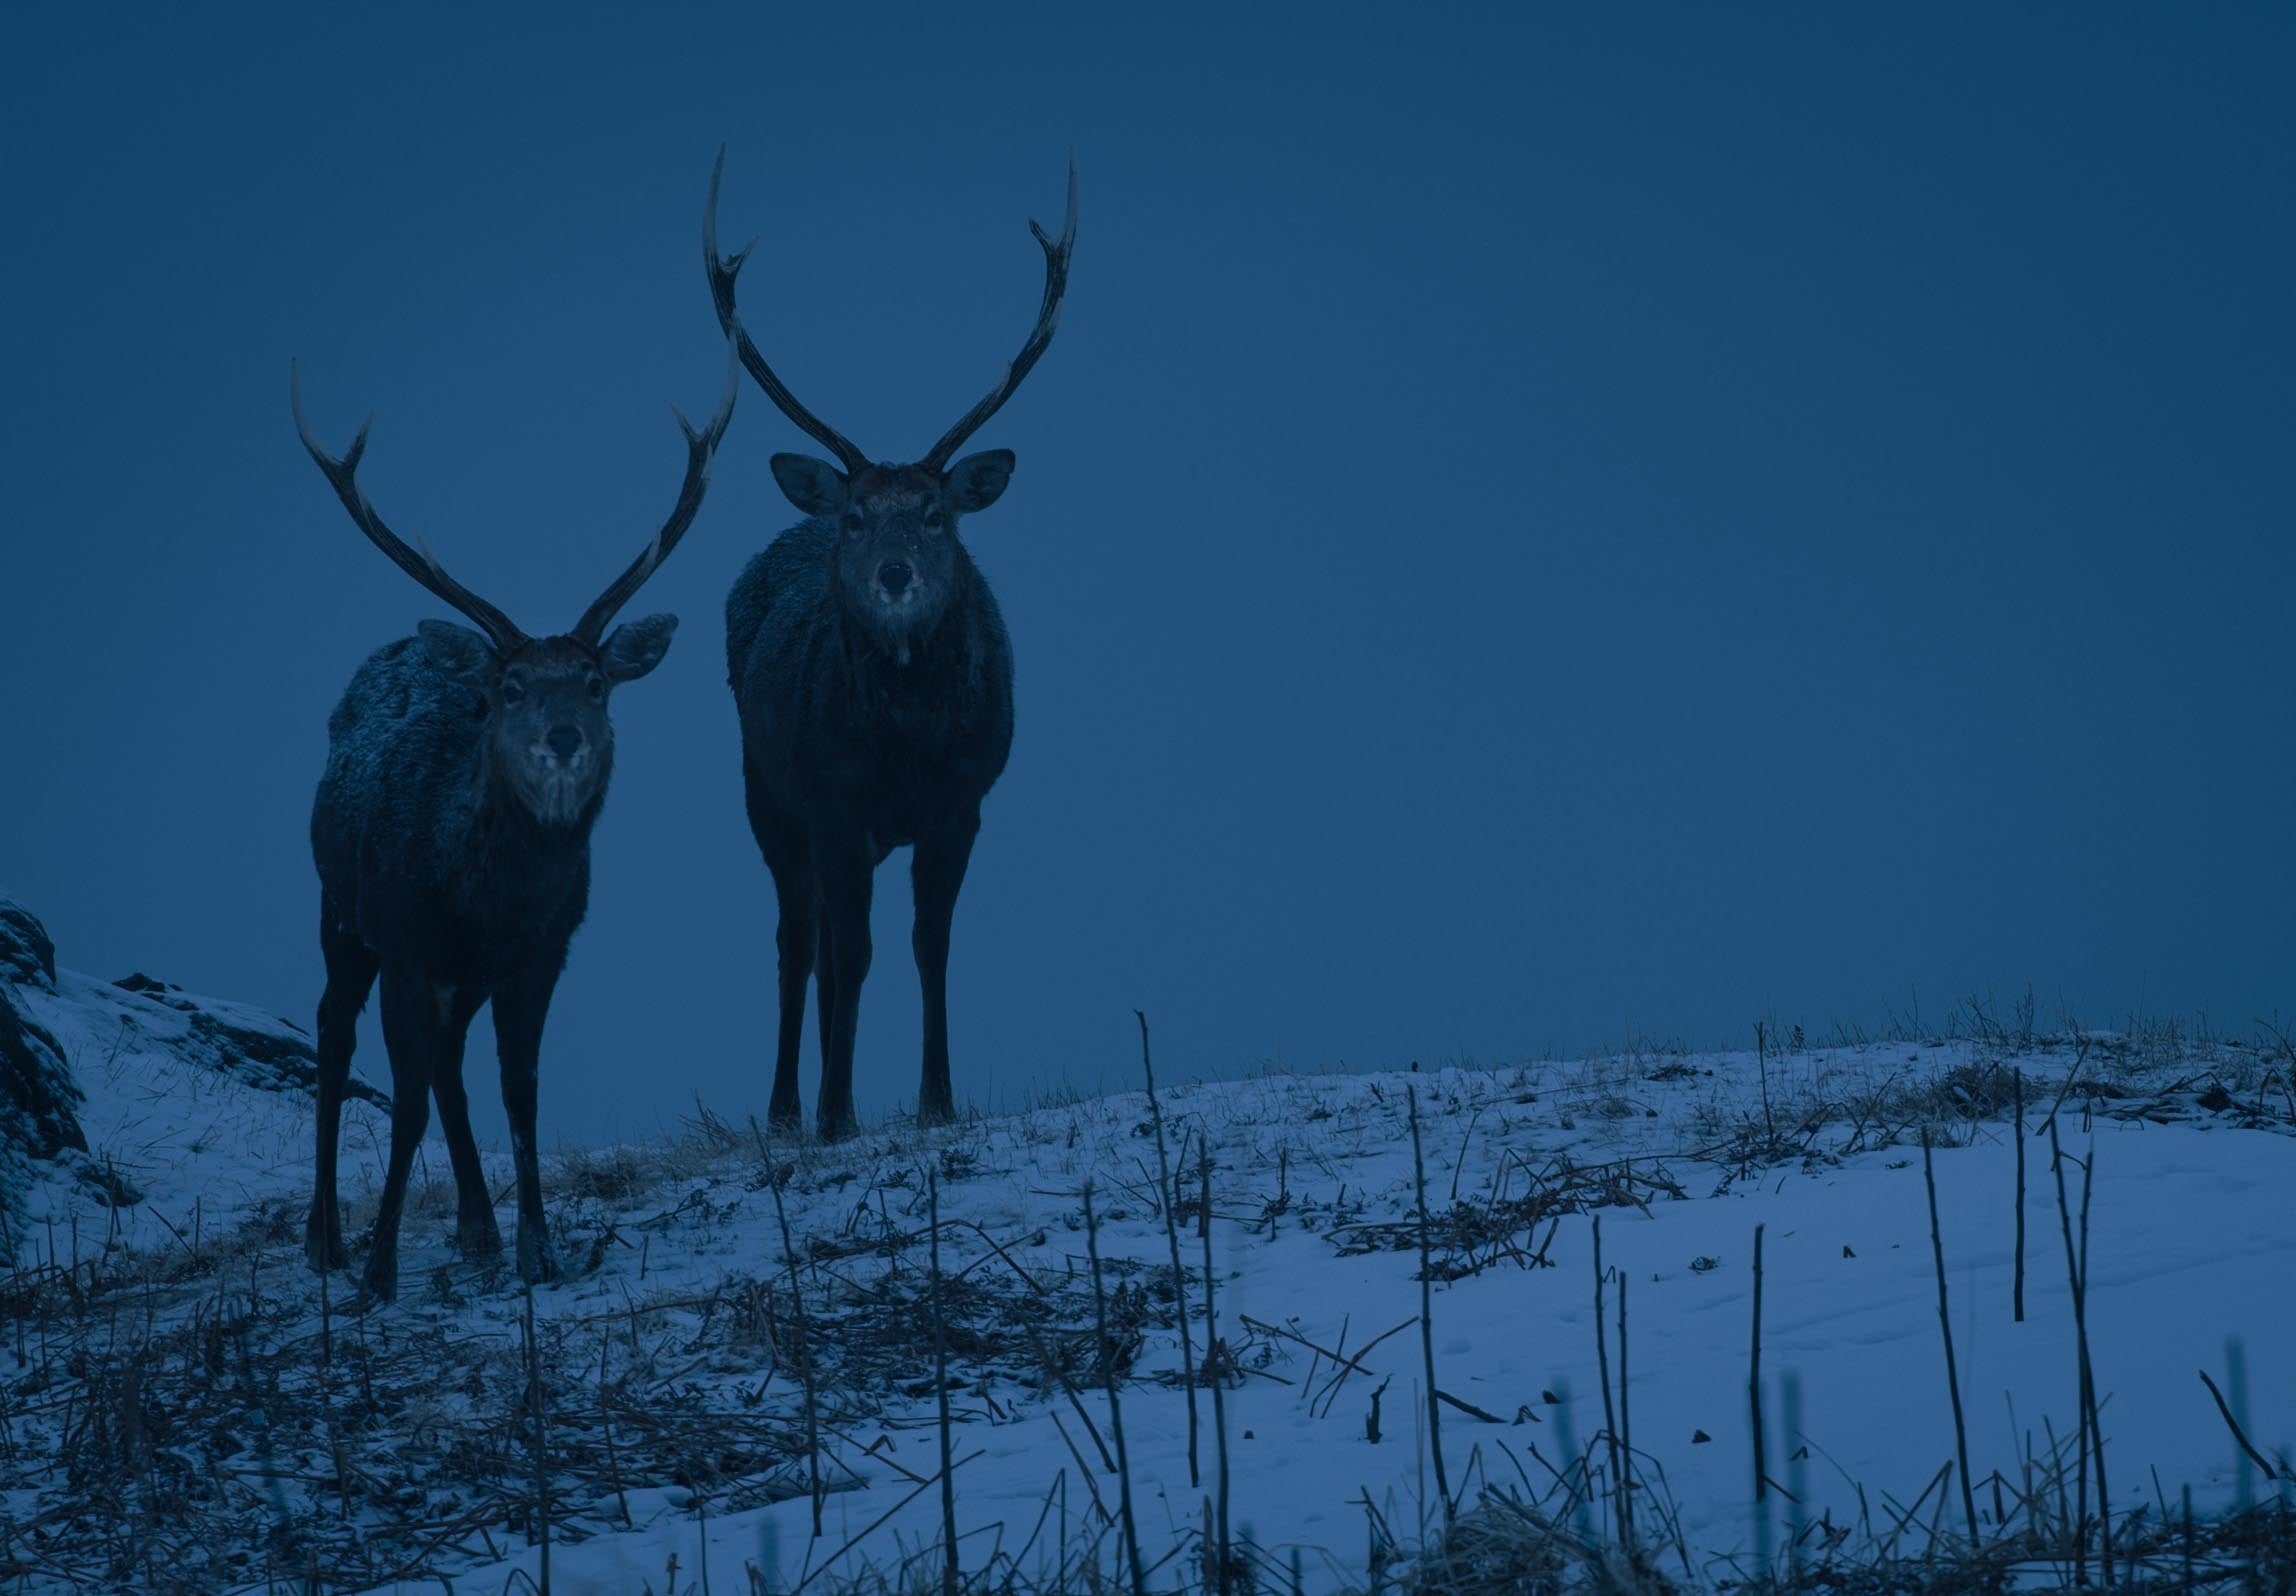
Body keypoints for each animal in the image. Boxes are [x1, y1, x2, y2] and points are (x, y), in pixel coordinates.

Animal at [289, 349, 734, 1295]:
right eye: (512, 688)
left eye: (597, 683)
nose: (564, 738)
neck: (486, 902)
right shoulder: (407, 946)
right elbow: (405, 1101)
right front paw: (378, 1271)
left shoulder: (542, 952)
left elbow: (519, 1090)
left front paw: (539, 1248)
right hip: (339, 910)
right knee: (334, 1034)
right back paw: (326, 1239)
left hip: (453, 975)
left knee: (452, 1067)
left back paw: (477, 1229)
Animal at [702, 149, 1079, 1143]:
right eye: (858, 516)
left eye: (938, 513)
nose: (897, 574)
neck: (908, 746)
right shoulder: (833, 804)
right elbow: (855, 951)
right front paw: (836, 1112)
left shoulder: (963, 802)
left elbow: (928, 946)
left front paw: (935, 1100)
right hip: (766, 796)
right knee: (800, 943)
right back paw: (788, 1110)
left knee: (830, 948)